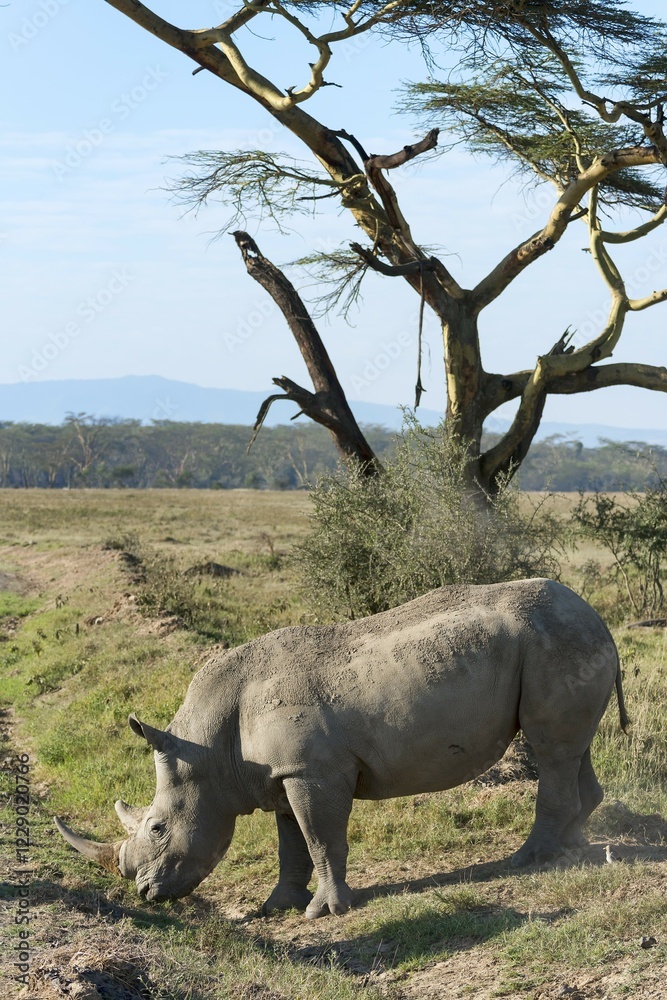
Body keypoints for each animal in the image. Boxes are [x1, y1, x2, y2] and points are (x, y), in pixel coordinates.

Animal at [55, 578, 627, 919]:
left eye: (157, 828)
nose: (144, 895)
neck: (207, 749)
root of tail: (596, 616)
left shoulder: (312, 770)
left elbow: (321, 839)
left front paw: (324, 913)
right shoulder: (282, 774)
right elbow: (291, 846)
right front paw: (274, 908)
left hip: (555, 643)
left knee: (551, 748)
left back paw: (530, 860)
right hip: (558, 645)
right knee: (570, 748)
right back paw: (573, 844)